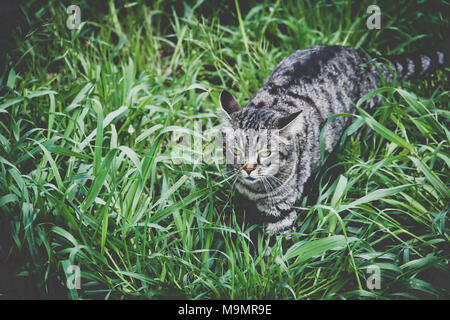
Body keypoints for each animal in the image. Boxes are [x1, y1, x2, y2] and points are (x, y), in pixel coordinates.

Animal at [218, 44, 446, 240]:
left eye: (266, 153)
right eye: (236, 150)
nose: (248, 168)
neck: (253, 191)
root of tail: (363, 56)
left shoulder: (280, 213)